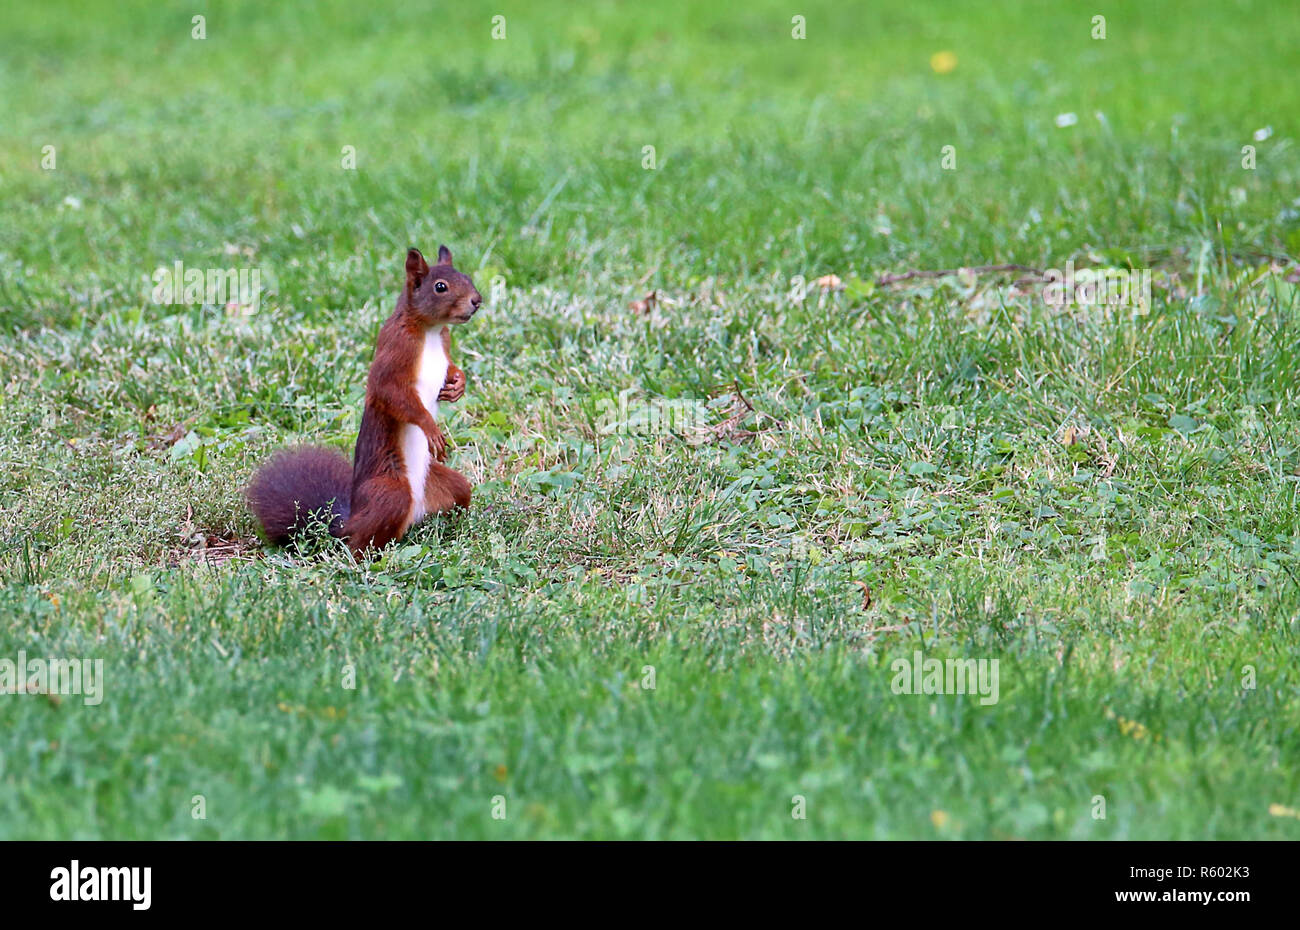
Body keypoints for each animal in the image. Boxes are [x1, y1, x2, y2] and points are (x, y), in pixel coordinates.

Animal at [248, 243, 483, 556]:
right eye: (440, 287)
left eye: (466, 276)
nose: (476, 301)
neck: (431, 330)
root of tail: (349, 519)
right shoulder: (395, 352)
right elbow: (391, 394)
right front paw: (430, 428)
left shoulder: (444, 345)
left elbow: (452, 369)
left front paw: (458, 385)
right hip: (391, 491)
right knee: (357, 543)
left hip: (447, 483)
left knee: (459, 491)